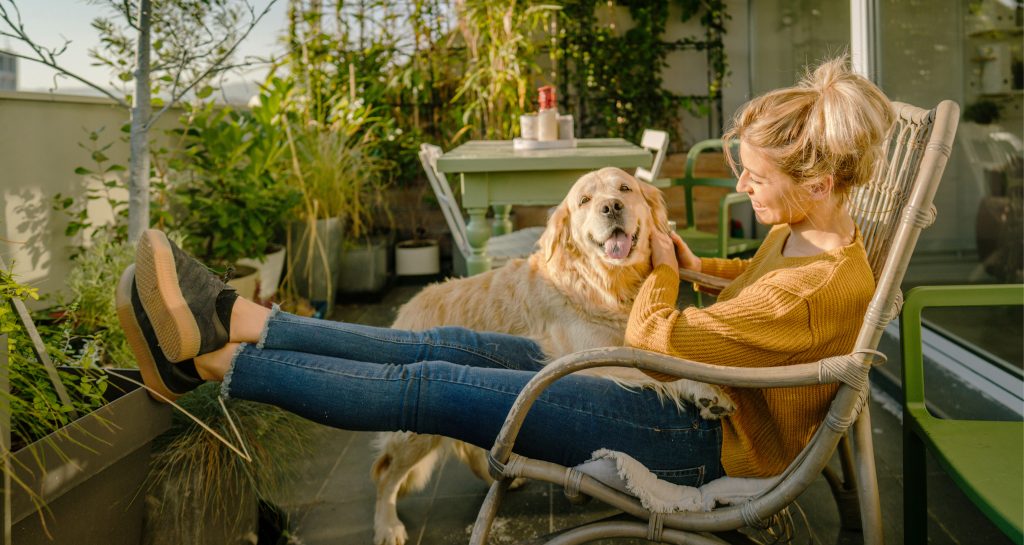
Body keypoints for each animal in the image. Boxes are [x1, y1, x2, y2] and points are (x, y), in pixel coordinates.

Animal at [368, 166, 729, 545]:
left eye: (625, 189)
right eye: (585, 200)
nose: (611, 207)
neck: (606, 284)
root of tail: (408, 306)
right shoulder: (591, 356)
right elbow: (665, 371)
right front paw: (707, 390)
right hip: (413, 435)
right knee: (385, 472)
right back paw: (388, 525)